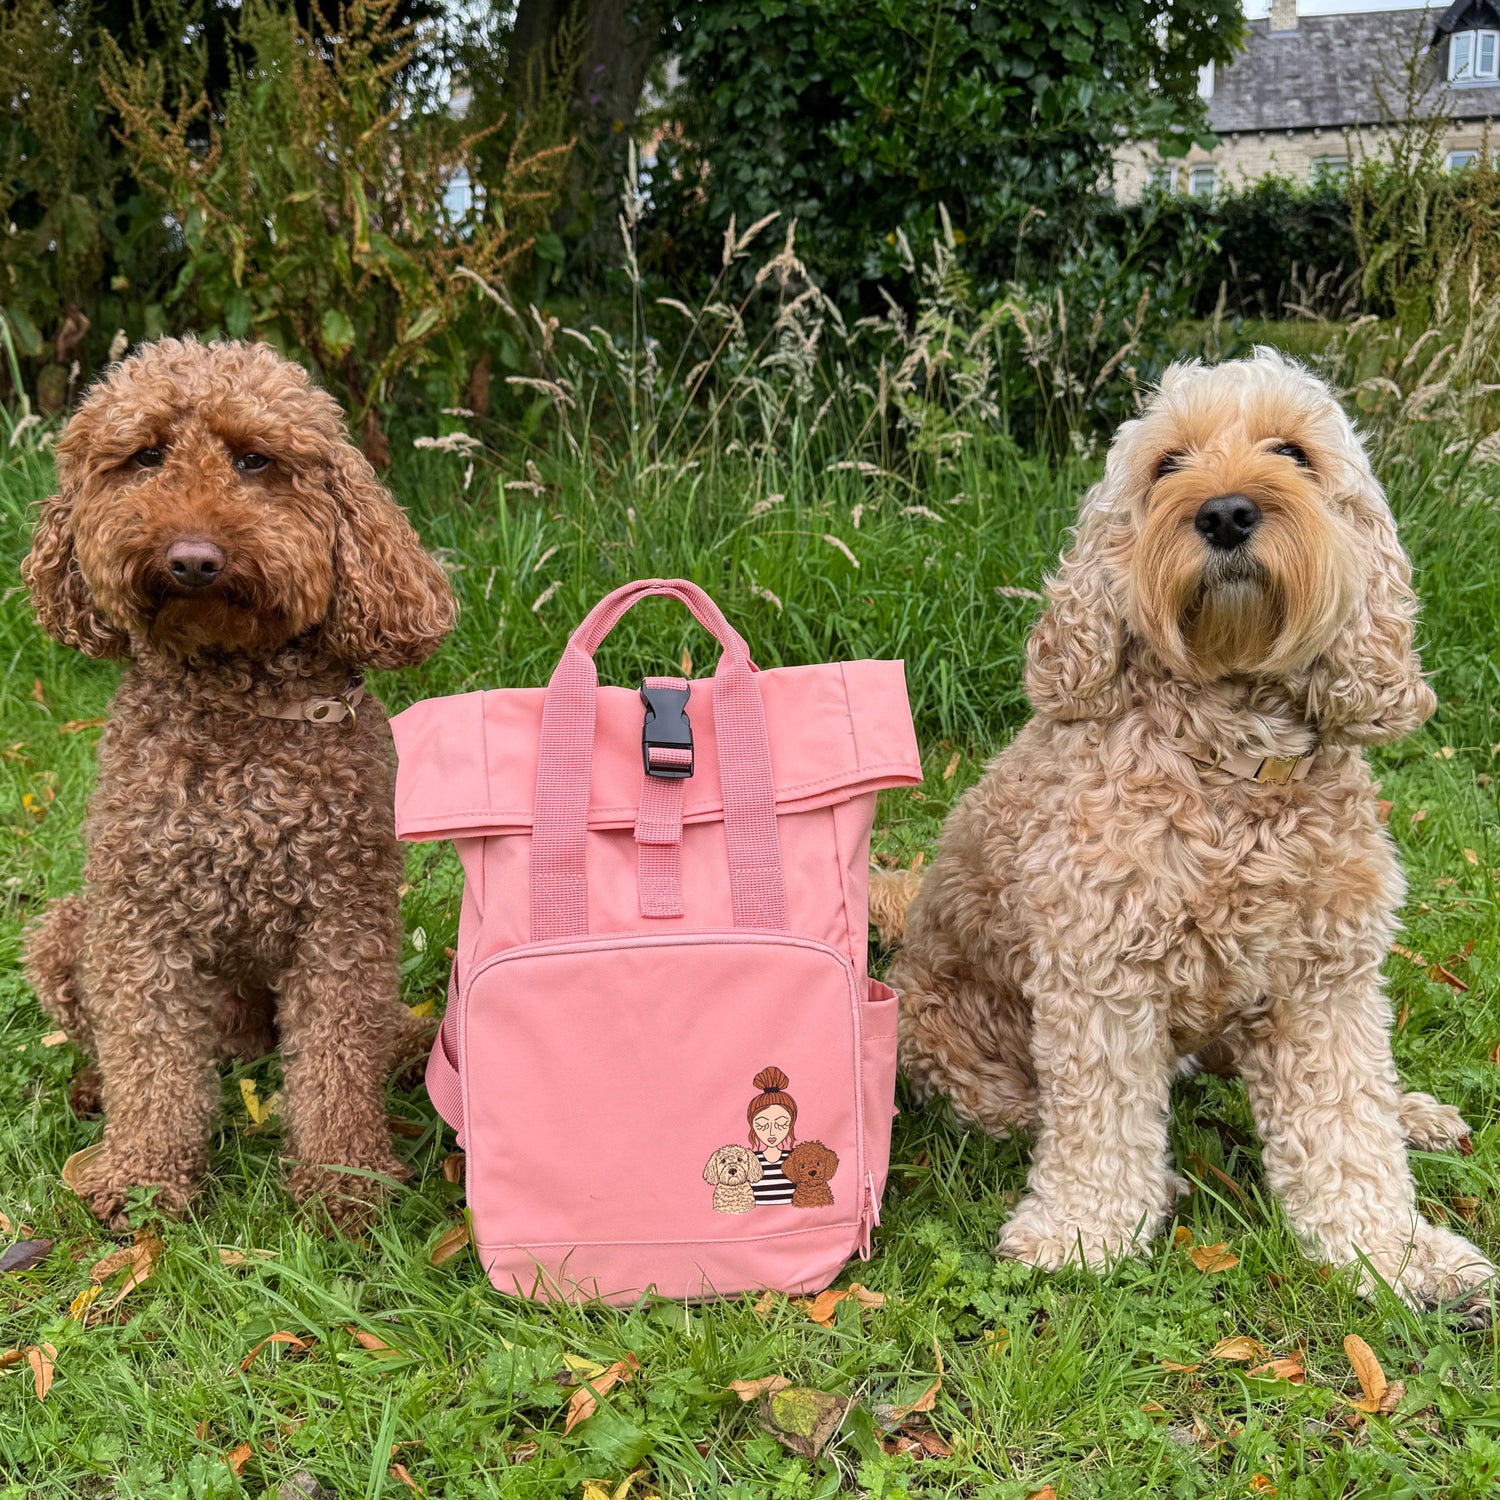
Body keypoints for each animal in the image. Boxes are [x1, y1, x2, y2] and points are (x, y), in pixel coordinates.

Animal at [21, 343, 456, 1230]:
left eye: (255, 459)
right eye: (145, 456)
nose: (193, 561)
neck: (237, 698)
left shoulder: (342, 920)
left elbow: (334, 1062)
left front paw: (344, 1183)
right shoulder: (137, 920)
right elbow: (148, 1059)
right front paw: (145, 1178)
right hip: (63, 932)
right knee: (121, 1046)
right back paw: (93, 1095)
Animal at [882, 351, 1494, 1326]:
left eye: (1293, 452)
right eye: (1167, 463)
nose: (1227, 512)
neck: (1229, 761)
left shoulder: (1327, 985)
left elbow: (1350, 1130)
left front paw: (1396, 1252)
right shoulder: (1098, 974)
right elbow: (1097, 1127)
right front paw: (1080, 1234)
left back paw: (1416, 1112)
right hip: (946, 1038)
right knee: (1022, 1111)